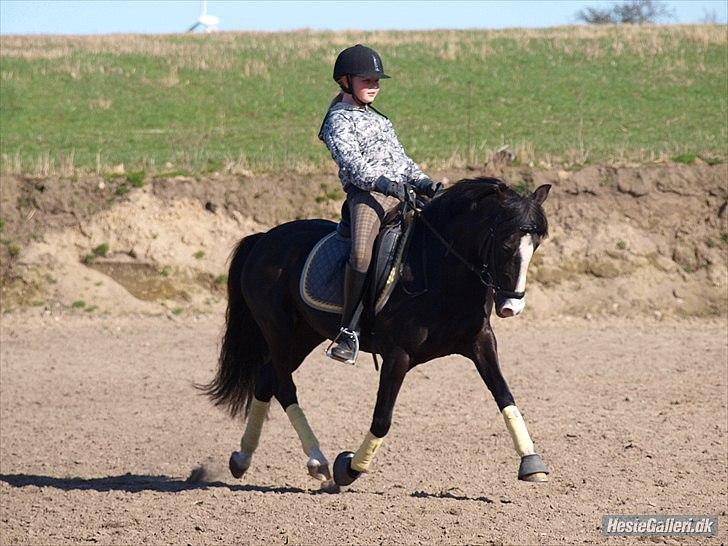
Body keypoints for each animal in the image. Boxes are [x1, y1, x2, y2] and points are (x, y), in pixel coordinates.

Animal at [199, 177, 552, 488]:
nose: (511, 306)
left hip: (303, 336)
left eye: (535, 245)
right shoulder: (398, 355)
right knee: (284, 386)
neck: (441, 272)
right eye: (505, 243)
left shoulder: (480, 343)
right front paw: (349, 468)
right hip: (280, 333)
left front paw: (531, 463)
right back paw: (318, 462)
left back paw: (242, 459)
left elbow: (505, 396)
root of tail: (264, 239)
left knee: (266, 379)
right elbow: (382, 419)